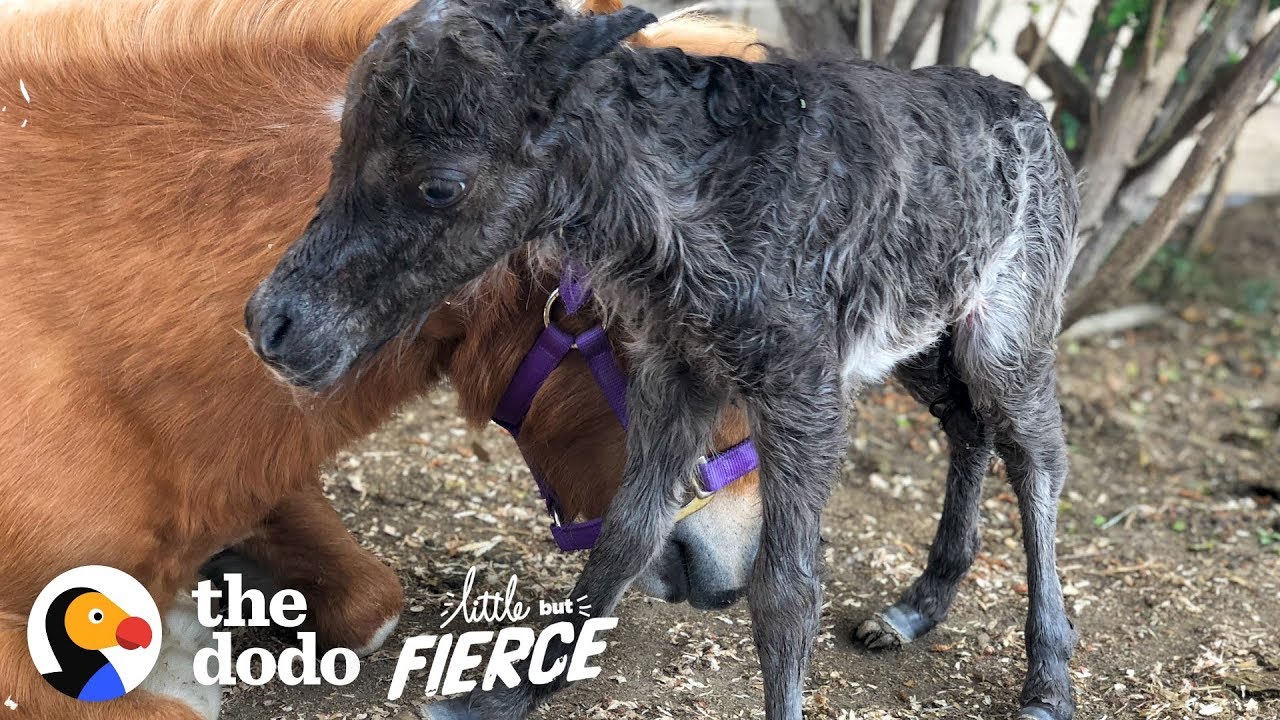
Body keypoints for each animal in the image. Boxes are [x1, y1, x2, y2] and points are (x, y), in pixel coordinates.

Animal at [241, 1, 1080, 717]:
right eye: (342, 149)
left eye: (441, 185)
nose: (272, 325)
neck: (689, 202)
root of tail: (1035, 112)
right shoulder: (675, 371)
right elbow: (626, 531)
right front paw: (506, 697)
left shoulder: (800, 387)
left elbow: (785, 592)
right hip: (925, 329)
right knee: (966, 424)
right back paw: (917, 606)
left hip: (1008, 328)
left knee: (1035, 452)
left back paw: (1045, 681)